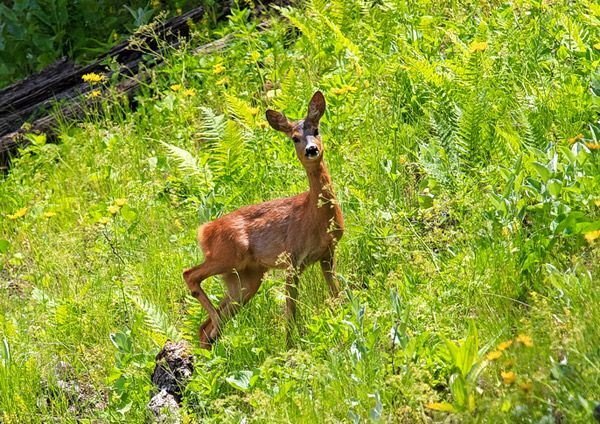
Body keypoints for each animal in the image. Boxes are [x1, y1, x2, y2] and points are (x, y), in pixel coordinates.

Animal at [182, 90, 342, 348]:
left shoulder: (327, 253)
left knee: (204, 328)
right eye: (294, 138)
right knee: (190, 275)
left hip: (246, 279)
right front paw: (290, 345)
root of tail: (204, 230)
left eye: (316, 130)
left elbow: (336, 293)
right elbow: (290, 310)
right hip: (228, 255)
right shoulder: (292, 259)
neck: (317, 216)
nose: (311, 150)